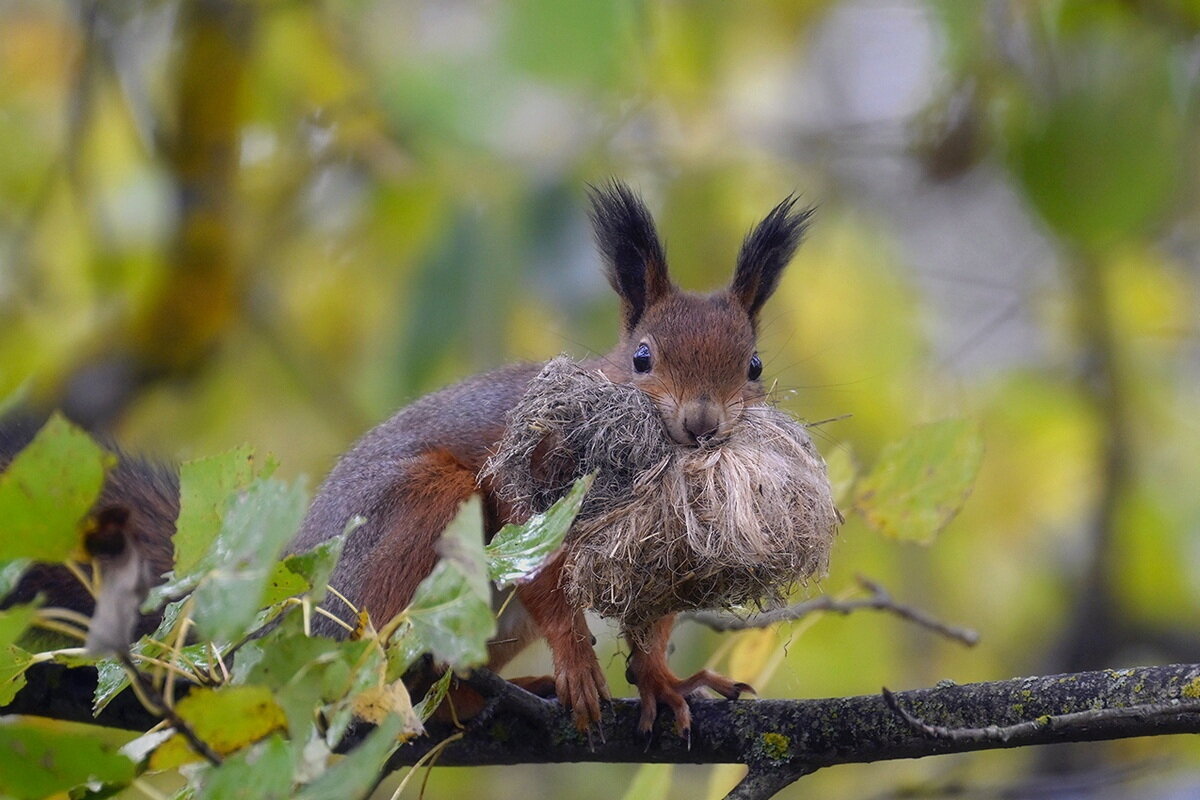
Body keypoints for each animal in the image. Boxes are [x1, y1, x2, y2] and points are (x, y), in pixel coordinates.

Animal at [291, 178, 816, 734]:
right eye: (642, 357)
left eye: (754, 366)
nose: (702, 422)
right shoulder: (529, 474)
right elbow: (536, 560)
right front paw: (578, 663)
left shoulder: (666, 553)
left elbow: (653, 619)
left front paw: (662, 681)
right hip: (405, 517)